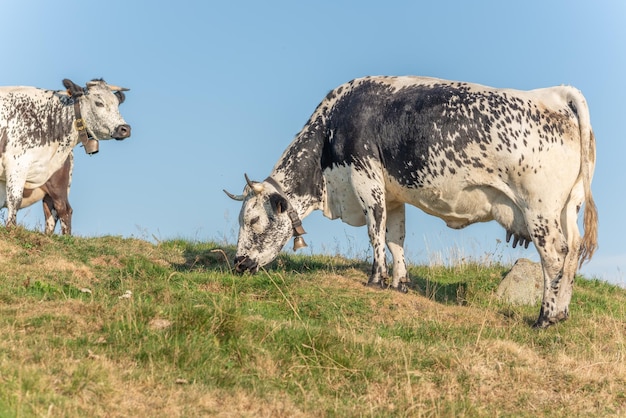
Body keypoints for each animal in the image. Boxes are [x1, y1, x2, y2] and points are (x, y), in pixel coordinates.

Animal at [0, 78, 129, 229]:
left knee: (63, 211)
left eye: (117, 104)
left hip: (57, 187)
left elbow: (14, 200)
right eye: (99, 103)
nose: (125, 129)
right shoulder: (17, 163)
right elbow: (14, 200)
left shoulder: (18, 164)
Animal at [224, 76, 596, 328]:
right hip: (567, 208)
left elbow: (375, 232)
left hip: (539, 209)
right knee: (573, 253)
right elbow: (395, 237)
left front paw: (376, 280)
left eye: (253, 220)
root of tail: (556, 93)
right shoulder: (393, 194)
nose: (238, 263)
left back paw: (544, 318)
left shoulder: (366, 179)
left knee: (555, 255)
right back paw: (561, 313)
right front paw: (399, 283)